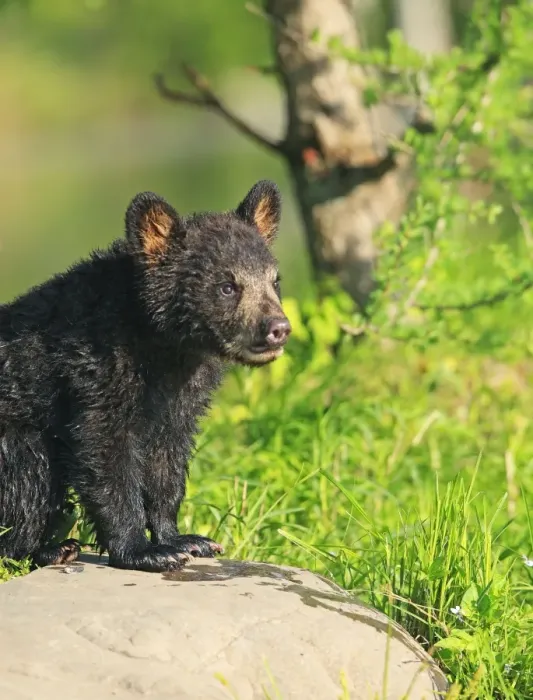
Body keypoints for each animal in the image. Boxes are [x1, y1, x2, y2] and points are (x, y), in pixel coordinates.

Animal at [0, 180, 291, 573]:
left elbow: (167, 456)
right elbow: (105, 450)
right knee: (30, 478)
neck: (161, 344)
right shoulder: (94, 370)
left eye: (275, 281)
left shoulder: (180, 392)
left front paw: (186, 540)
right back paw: (44, 548)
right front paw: (143, 551)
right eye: (227, 286)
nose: (278, 328)